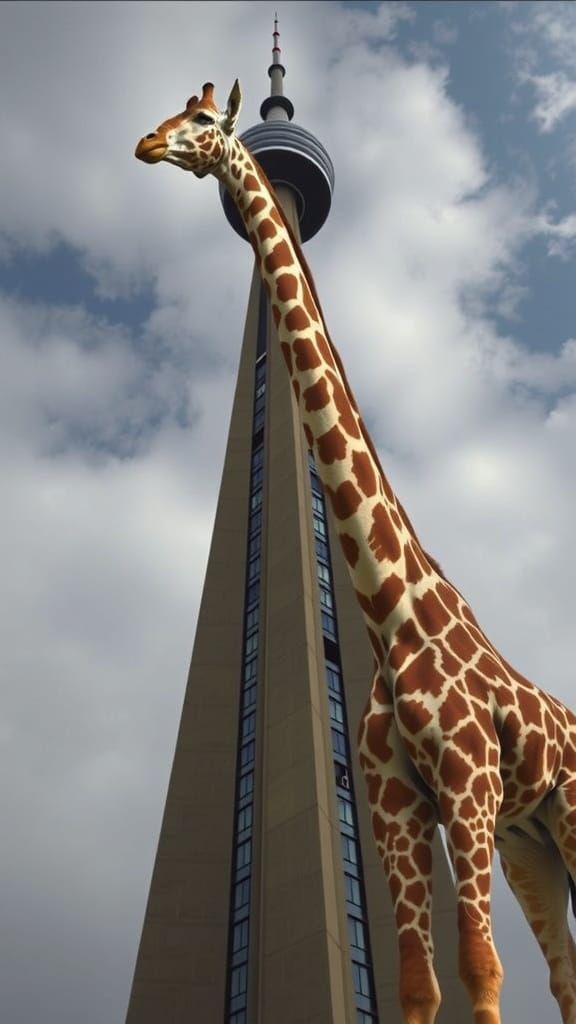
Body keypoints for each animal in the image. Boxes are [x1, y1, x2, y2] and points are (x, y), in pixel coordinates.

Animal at [135, 81, 576, 1024]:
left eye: (208, 121)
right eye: (175, 108)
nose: (149, 142)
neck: (389, 612)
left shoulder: (466, 789)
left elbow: (480, 968)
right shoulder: (393, 803)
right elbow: (419, 980)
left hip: (567, 816)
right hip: (530, 843)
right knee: (565, 976)